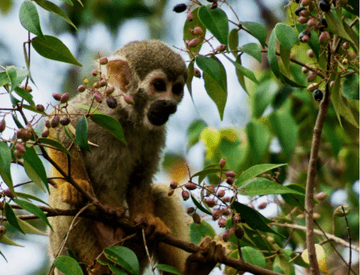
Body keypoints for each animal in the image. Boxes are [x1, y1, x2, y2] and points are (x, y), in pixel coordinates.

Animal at [47, 40, 222, 274]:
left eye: (176, 89)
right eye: (159, 85)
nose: (169, 105)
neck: (127, 117)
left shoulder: (156, 133)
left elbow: (141, 177)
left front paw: (147, 219)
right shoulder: (94, 110)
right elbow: (58, 133)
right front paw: (73, 184)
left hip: (129, 254)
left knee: (160, 194)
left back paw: (194, 268)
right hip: (66, 256)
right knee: (69, 206)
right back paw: (98, 266)